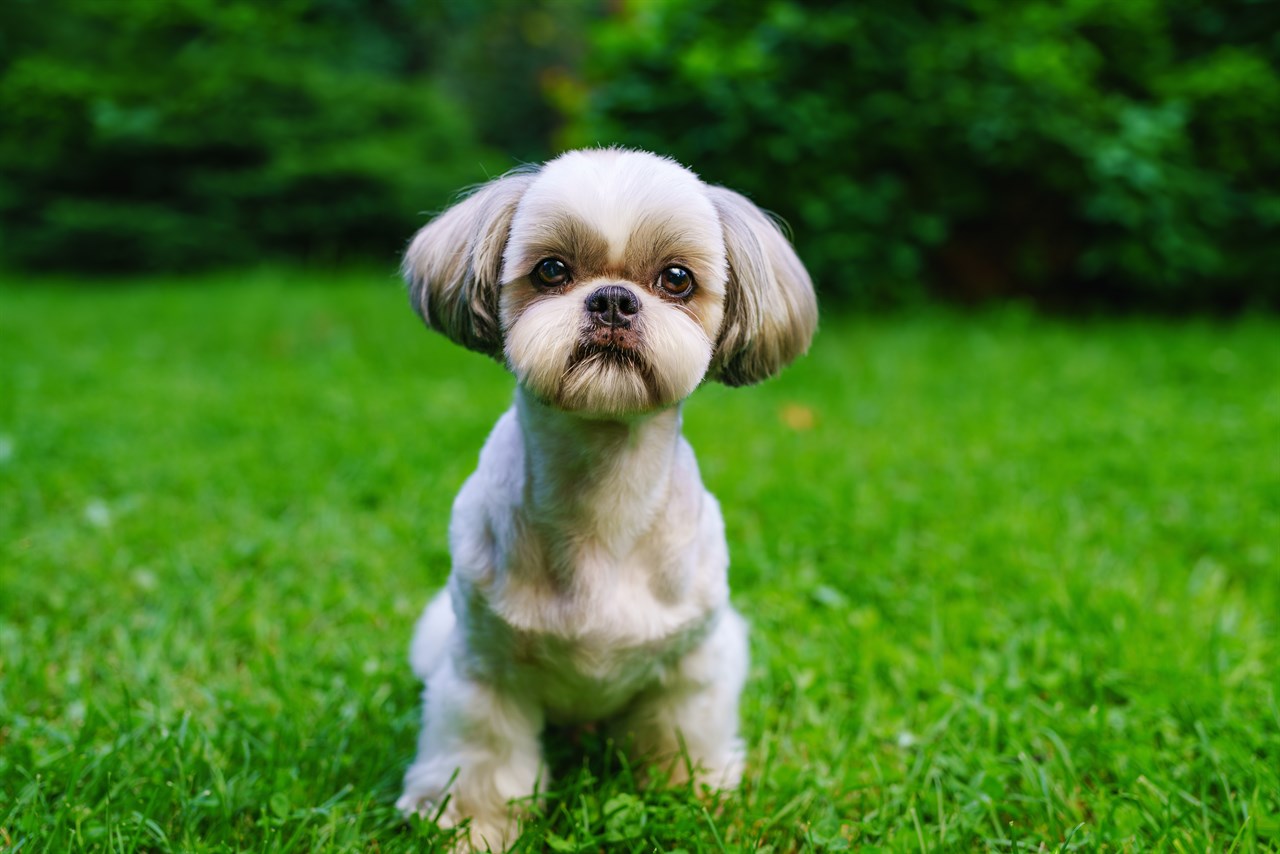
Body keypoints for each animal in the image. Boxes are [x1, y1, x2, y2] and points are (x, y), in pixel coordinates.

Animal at [396, 147, 819, 850]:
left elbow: (683, 739)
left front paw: (693, 799)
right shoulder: (483, 672)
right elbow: (482, 761)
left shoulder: (693, 667)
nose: (614, 300)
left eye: (676, 279)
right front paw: (473, 827)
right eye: (551, 270)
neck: (602, 500)